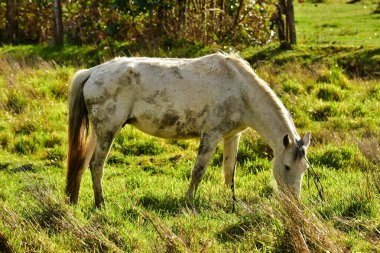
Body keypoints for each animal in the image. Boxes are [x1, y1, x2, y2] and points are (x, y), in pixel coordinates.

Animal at [65, 52, 308, 208]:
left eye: (304, 168)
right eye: (286, 166)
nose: (294, 203)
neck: (240, 89)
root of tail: (93, 72)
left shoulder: (232, 135)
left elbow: (229, 171)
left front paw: (231, 202)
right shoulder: (211, 135)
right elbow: (198, 171)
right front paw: (189, 202)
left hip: (98, 132)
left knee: (82, 162)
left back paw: (74, 200)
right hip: (108, 130)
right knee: (96, 165)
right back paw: (101, 204)